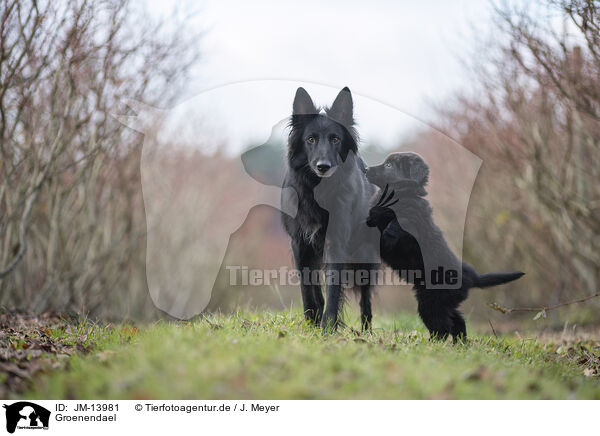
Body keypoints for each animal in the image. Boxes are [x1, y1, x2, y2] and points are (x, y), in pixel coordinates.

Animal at [282, 86, 378, 330]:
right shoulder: (300, 244)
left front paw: (328, 326)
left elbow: (334, 287)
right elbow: (308, 289)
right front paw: (312, 322)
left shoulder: (335, 243)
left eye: (335, 139)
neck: (318, 192)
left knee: (365, 300)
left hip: (365, 257)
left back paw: (366, 331)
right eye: (311, 139)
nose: (323, 167)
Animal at [364, 152, 524, 340]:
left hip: (432, 300)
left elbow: (399, 222)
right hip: (444, 302)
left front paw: (388, 234)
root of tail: (470, 276)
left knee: (442, 326)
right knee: (457, 322)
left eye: (389, 165)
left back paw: (432, 343)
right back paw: (459, 343)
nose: (365, 169)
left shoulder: (412, 218)